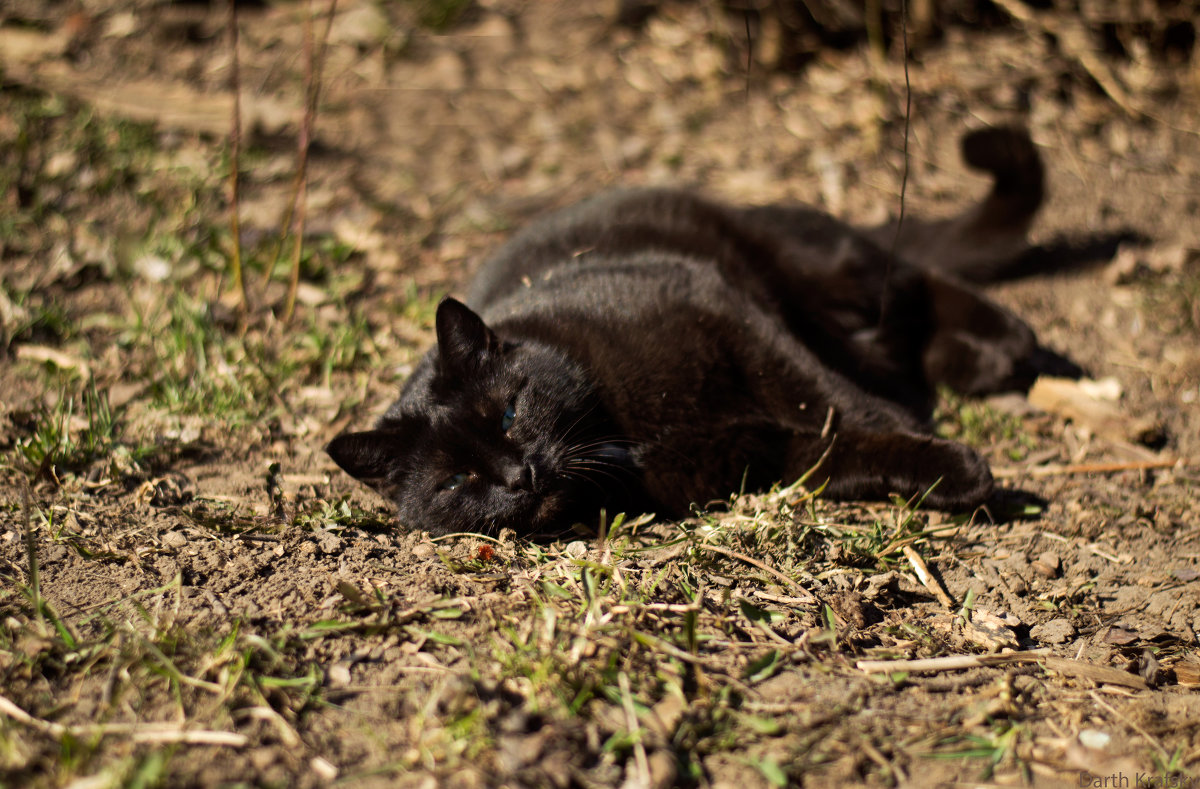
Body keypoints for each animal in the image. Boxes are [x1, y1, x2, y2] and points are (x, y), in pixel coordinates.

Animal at [326, 127, 1070, 534]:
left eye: (508, 412)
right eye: (455, 482)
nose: (518, 474)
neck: (624, 436)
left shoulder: (723, 312)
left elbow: (834, 402)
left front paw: (947, 454)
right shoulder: (767, 455)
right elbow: (843, 451)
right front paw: (946, 471)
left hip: (823, 269)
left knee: (913, 278)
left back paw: (1008, 344)